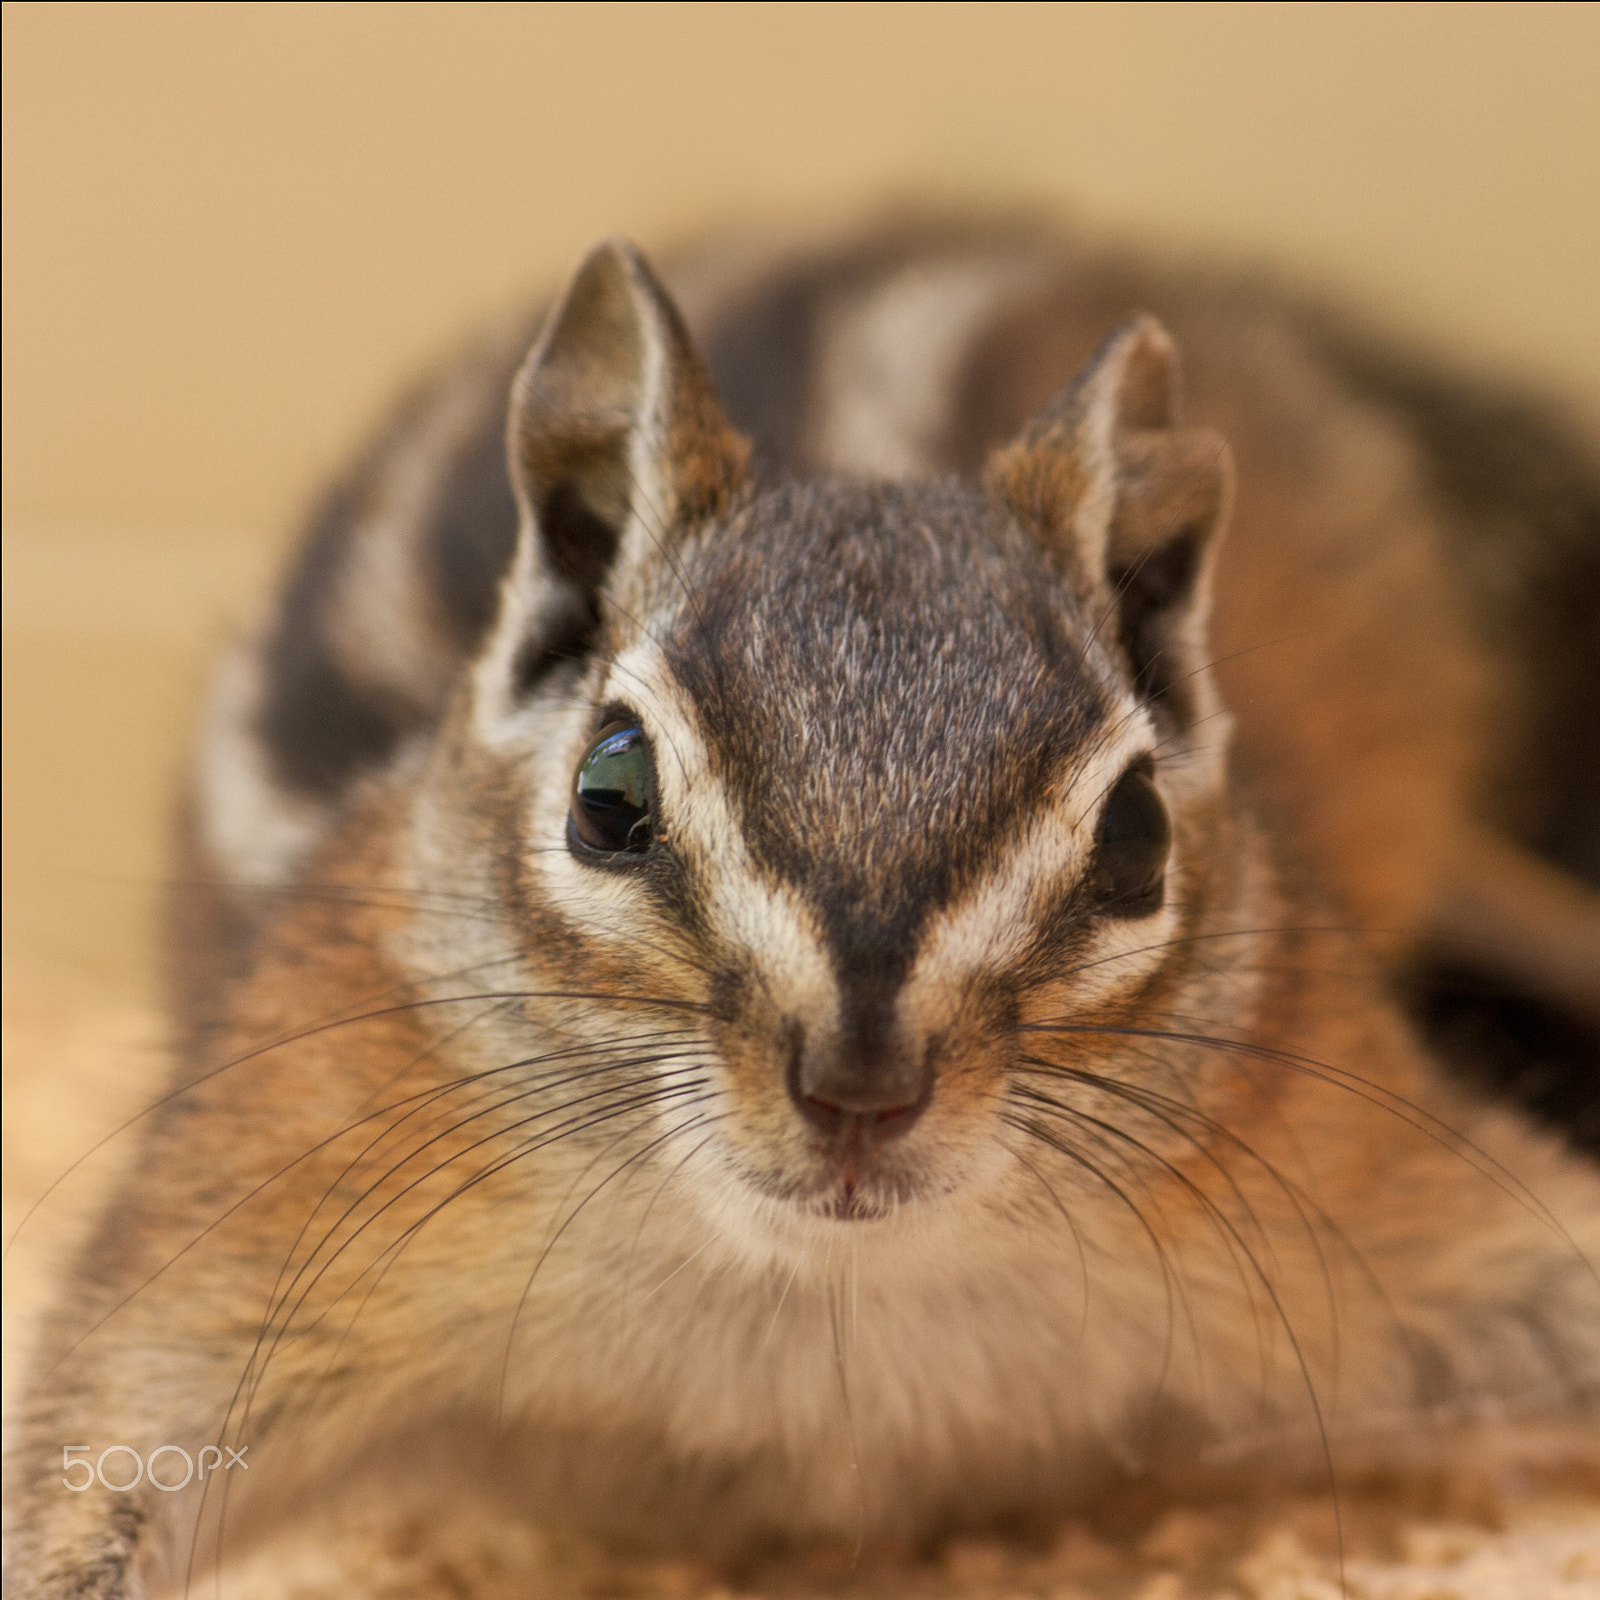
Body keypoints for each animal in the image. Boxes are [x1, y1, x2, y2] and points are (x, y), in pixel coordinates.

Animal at [7, 217, 1600, 1596]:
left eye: (1139, 838)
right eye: (607, 791)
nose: (859, 1088)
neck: (825, 1308)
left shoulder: (1363, 1182)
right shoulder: (262, 1205)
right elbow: (100, 1444)